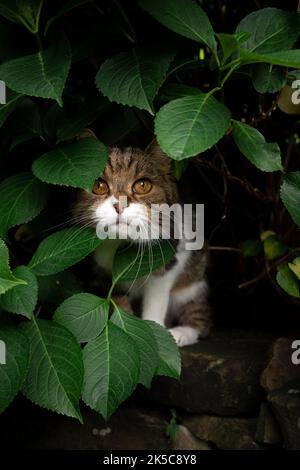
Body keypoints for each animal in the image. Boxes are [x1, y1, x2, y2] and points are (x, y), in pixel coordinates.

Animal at [74, 140, 211, 346]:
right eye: (98, 185)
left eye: (143, 185)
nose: (120, 205)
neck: (121, 243)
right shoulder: (103, 273)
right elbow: (117, 300)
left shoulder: (167, 259)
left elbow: (156, 298)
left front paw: (157, 333)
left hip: (193, 283)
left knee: (200, 318)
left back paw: (181, 333)